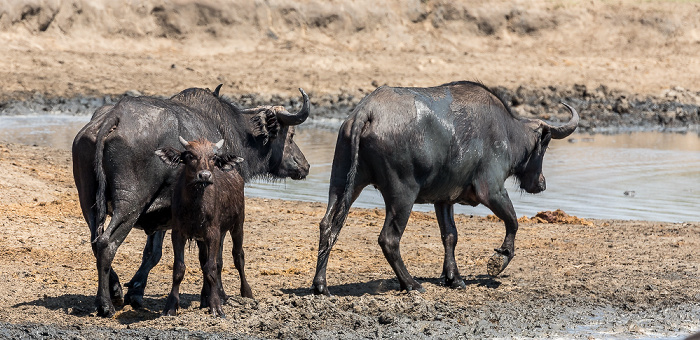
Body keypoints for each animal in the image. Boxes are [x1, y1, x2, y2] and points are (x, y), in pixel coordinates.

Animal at [157, 137, 252, 318]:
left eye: (213, 157)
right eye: (190, 155)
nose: (205, 175)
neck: (195, 206)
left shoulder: (213, 234)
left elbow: (211, 268)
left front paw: (216, 306)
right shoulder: (178, 233)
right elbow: (179, 269)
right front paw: (171, 306)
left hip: (238, 224)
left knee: (238, 256)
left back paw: (246, 293)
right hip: (207, 238)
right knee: (207, 260)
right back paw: (205, 297)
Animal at [312, 81, 580, 294]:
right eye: (544, 146)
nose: (541, 183)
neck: (507, 132)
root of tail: (366, 112)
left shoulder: (443, 200)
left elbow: (450, 236)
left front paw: (454, 278)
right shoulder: (491, 190)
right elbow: (513, 222)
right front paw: (499, 259)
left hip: (342, 185)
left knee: (328, 226)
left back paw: (320, 285)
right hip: (402, 196)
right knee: (388, 239)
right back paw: (411, 284)